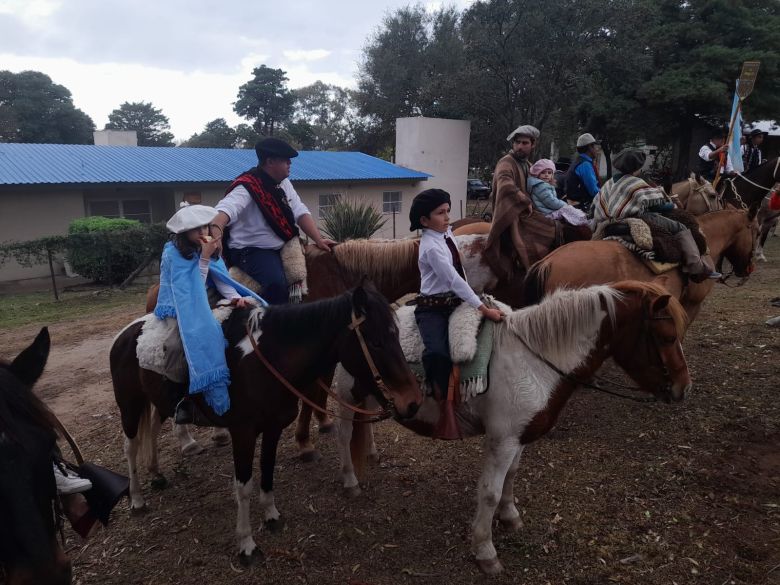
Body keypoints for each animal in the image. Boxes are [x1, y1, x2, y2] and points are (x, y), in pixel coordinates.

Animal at [109, 282, 420, 560]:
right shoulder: (243, 434)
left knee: (151, 429)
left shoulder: (273, 428)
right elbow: (243, 486)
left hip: (154, 403)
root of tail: (125, 333)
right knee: (130, 447)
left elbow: (268, 471)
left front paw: (271, 516)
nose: (412, 401)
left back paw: (156, 473)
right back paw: (137, 499)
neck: (264, 362)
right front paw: (247, 543)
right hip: (129, 405)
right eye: (376, 341)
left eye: (396, 335)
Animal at [332, 280, 692, 572]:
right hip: (346, 394)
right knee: (345, 435)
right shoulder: (501, 441)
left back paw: (372, 454)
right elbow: (489, 492)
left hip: (369, 392)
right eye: (667, 336)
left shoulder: (517, 437)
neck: (532, 358)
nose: (682, 388)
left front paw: (510, 516)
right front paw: (485, 550)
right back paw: (350, 481)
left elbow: (511, 477)